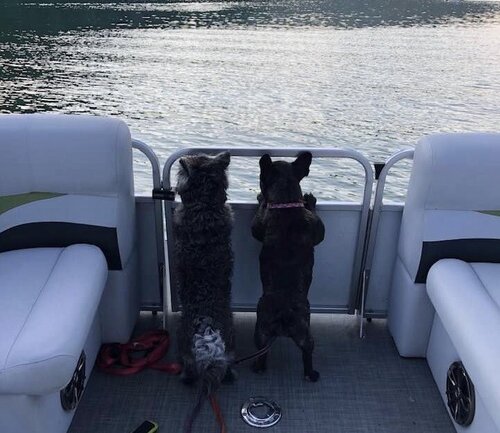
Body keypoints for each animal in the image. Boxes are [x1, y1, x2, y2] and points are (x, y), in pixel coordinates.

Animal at [250, 152, 324, 382]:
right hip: (301, 332)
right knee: (307, 352)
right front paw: (310, 200)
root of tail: (284, 315)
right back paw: (311, 373)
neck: (286, 201)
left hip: (262, 330)